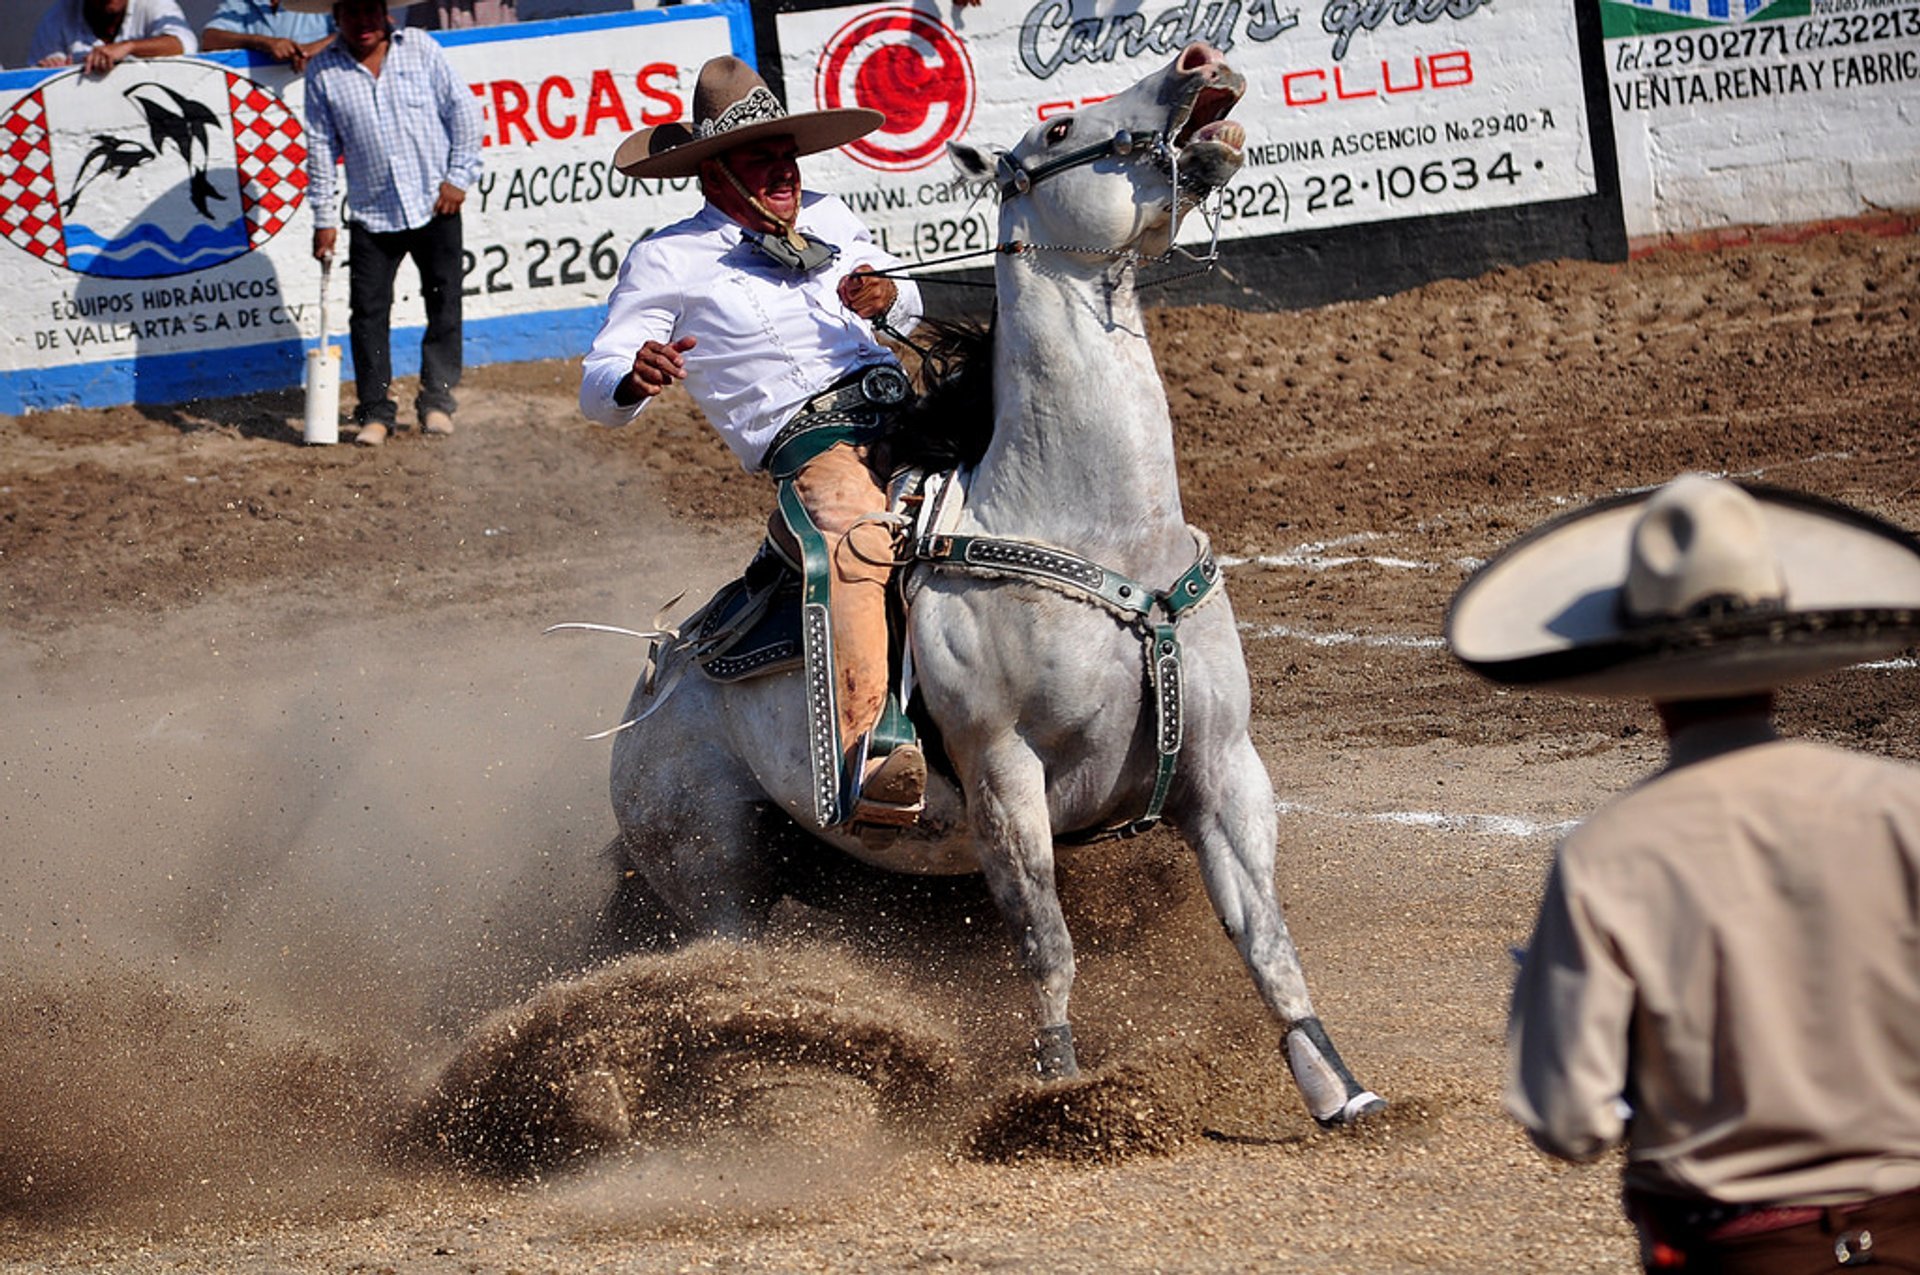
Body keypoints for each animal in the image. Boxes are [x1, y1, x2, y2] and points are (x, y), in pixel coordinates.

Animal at [595, 44, 1382, 1129]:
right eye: (1055, 130)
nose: (1198, 61)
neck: (1096, 529)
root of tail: (656, 678)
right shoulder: (1005, 773)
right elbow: (1046, 943)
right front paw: (1061, 1087)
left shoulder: (1226, 770)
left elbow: (1266, 938)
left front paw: (1333, 1082)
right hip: (715, 865)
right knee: (729, 967)